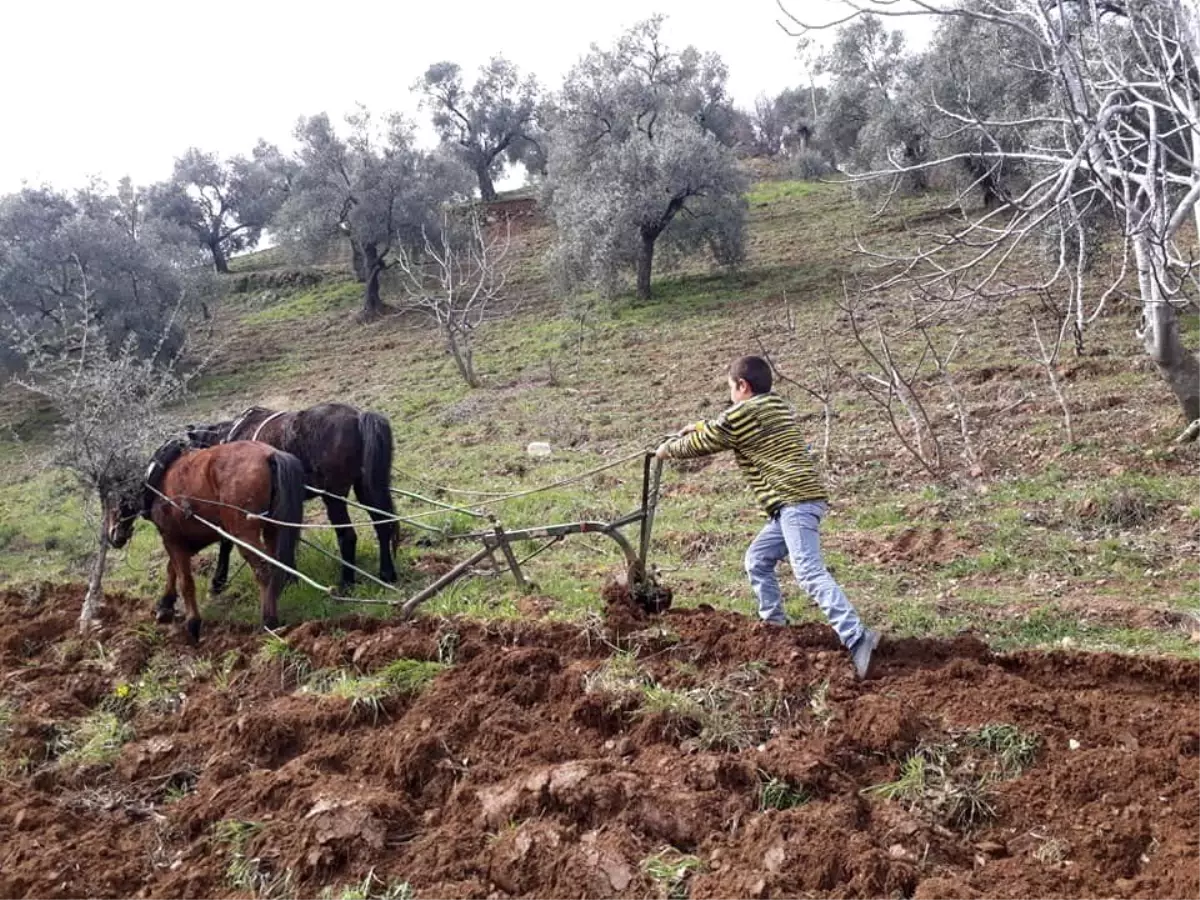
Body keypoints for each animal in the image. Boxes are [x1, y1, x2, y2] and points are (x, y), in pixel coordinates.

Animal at [105, 436, 307, 643]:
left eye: (110, 497)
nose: (113, 535)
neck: (157, 480)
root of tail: (270, 455)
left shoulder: (172, 538)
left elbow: (185, 580)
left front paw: (192, 623)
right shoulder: (188, 539)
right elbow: (172, 569)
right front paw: (165, 605)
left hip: (244, 535)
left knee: (263, 572)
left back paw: (268, 622)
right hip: (272, 529)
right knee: (275, 565)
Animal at [183, 400, 398, 592]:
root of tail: (358, 417)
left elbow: (228, 541)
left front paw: (218, 582)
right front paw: (290, 577)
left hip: (333, 497)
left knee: (348, 536)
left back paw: (346, 583)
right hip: (366, 488)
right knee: (382, 525)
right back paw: (387, 574)